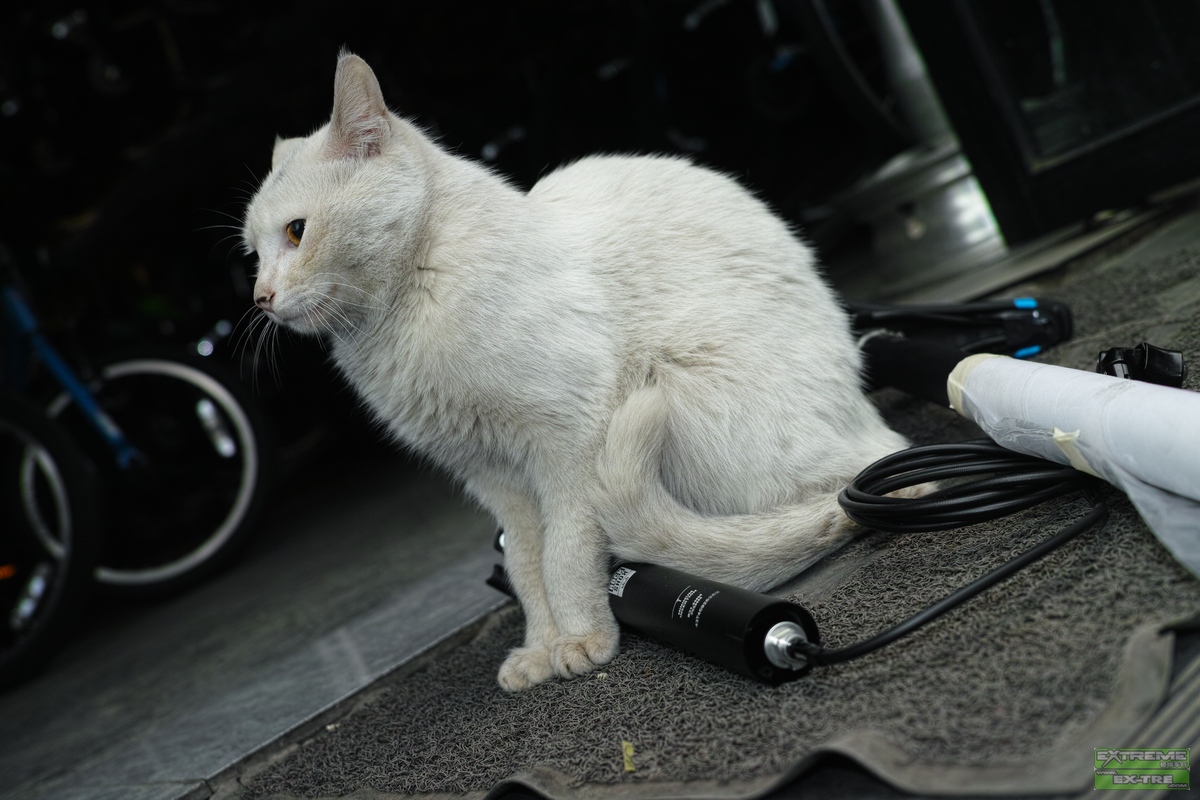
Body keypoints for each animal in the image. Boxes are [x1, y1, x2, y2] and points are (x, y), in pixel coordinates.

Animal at [241, 52, 912, 691]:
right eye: (253, 253)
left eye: (297, 232)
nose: (260, 297)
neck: (400, 318)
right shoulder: (494, 479)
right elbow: (526, 568)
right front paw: (541, 647)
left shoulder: (569, 444)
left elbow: (564, 556)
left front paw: (584, 640)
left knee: (857, 485)